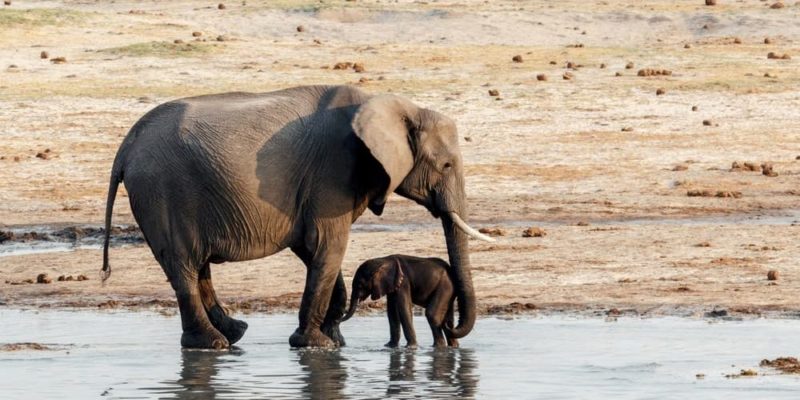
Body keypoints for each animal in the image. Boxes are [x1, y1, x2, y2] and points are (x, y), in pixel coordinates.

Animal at [101, 85, 494, 349]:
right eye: (446, 165)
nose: (452, 328)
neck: (394, 105)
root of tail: (125, 146)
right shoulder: (332, 172)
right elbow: (327, 247)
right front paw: (315, 345)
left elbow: (313, 251)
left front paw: (334, 342)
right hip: (162, 191)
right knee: (183, 266)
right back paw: (212, 344)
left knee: (197, 268)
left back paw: (235, 333)